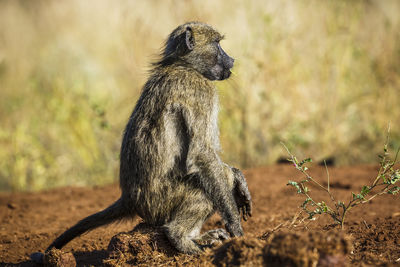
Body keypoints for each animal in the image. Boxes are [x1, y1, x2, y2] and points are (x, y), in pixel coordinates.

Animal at [31, 21, 252, 264]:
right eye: (217, 44)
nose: (232, 60)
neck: (183, 65)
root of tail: (129, 198)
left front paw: (241, 181)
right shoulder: (201, 90)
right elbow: (203, 155)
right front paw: (235, 226)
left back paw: (199, 237)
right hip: (160, 204)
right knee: (210, 183)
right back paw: (182, 239)